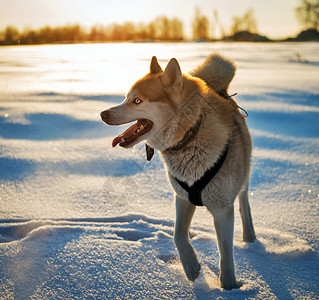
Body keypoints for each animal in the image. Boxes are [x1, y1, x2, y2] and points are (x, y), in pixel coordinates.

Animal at [102, 52, 258, 290]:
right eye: (126, 97)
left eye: (137, 101)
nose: (102, 114)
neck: (190, 136)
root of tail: (222, 91)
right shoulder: (183, 197)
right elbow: (178, 235)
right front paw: (191, 267)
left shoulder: (222, 209)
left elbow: (226, 257)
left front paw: (229, 287)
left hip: (242, 180)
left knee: (244, 204)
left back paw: (250, 238)